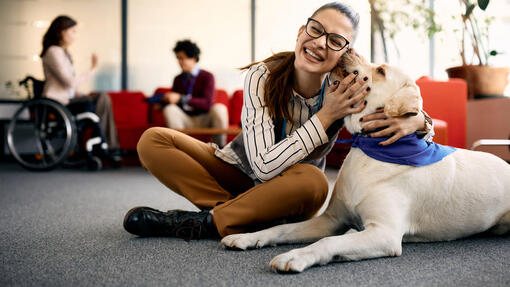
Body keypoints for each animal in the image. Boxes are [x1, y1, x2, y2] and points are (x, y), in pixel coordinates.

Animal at [221, 49, 510, 274]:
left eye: (380, 70)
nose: (348, 48)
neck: (369, 149)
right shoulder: (331, 220)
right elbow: (282, 229)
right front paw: (248, 237)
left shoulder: (383, 233)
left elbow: (328, 243)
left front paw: (295, 256)